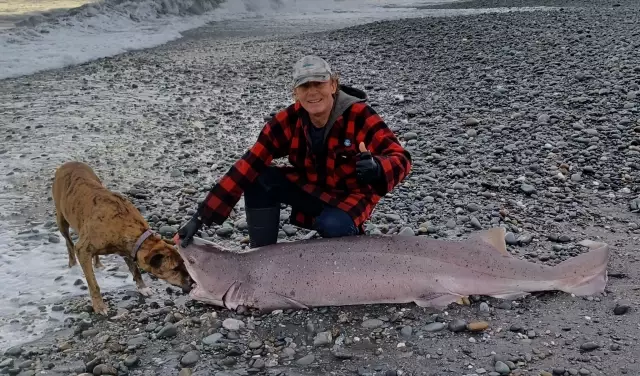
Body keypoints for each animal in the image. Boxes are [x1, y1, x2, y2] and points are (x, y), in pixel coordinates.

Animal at [51, 161, 191, 314]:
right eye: (175, 269)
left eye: (184, 263)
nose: (193, 282)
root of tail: (69, 163)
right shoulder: (82, 249)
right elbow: (93, 284)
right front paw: (99, 305)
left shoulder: (128, 249)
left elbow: (136, 270)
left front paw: (143, 287)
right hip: (61, 219)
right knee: (68, 242)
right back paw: (72, 263)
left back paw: (98, 263)